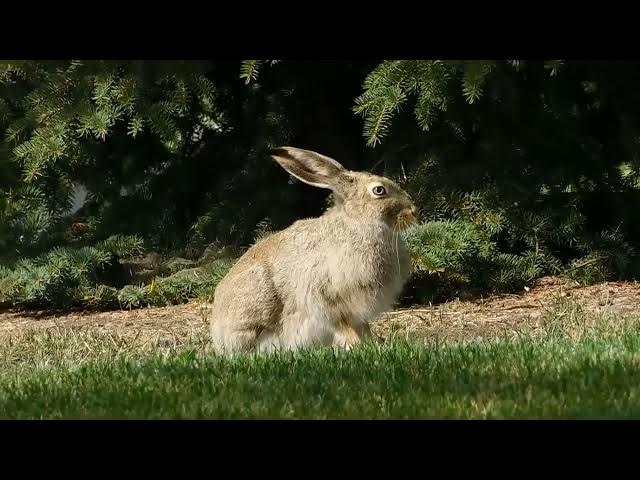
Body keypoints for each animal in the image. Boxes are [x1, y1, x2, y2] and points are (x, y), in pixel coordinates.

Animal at [209, 146, 418, 354]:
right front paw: (357, 346)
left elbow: (363, 328)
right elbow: (342, 327)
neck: (357, 222)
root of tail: (218, 335)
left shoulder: (357, 314)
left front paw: (370, 344)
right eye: (379, 190)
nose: (413, 211)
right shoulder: (327, 300)